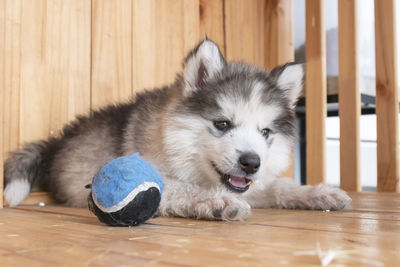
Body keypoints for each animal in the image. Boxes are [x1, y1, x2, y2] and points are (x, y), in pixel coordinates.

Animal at [4, 39, 352, 220]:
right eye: (222, 124)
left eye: (265, 132)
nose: (252, 163)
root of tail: (57, 141)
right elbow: (174, 187)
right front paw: (215, 202)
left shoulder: (250, 184)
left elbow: (278, 186)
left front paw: (317, 193)